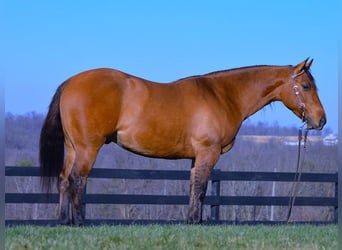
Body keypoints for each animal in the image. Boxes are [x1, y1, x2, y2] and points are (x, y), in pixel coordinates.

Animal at [39, 58, 326, 225]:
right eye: (307, 86)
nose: (321, 120)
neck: (223, 95)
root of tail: (71, 82)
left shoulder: (195, 157)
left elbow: (193, 188)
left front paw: (191, 222)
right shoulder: (209, 152)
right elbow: (201, 189)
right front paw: (196, 223)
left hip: (73, 148)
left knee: (63, 180)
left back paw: (63, 222)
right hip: (88, 148)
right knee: (77, 180)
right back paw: (79, 223)